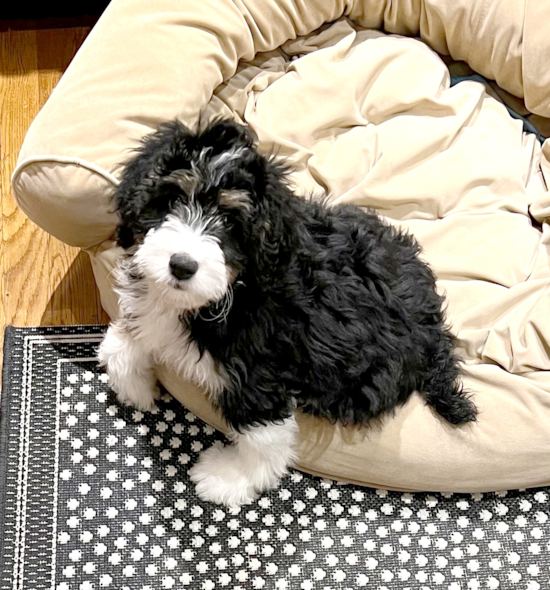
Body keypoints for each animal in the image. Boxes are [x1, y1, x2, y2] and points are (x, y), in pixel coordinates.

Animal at [99, 119, 478, 508]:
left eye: (230, 221)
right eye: (173, 199)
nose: (181, 265)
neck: (229, 293)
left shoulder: (258, 373)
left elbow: (262, 437)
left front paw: (229, 478)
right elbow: (119, 344)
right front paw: (137, 389)